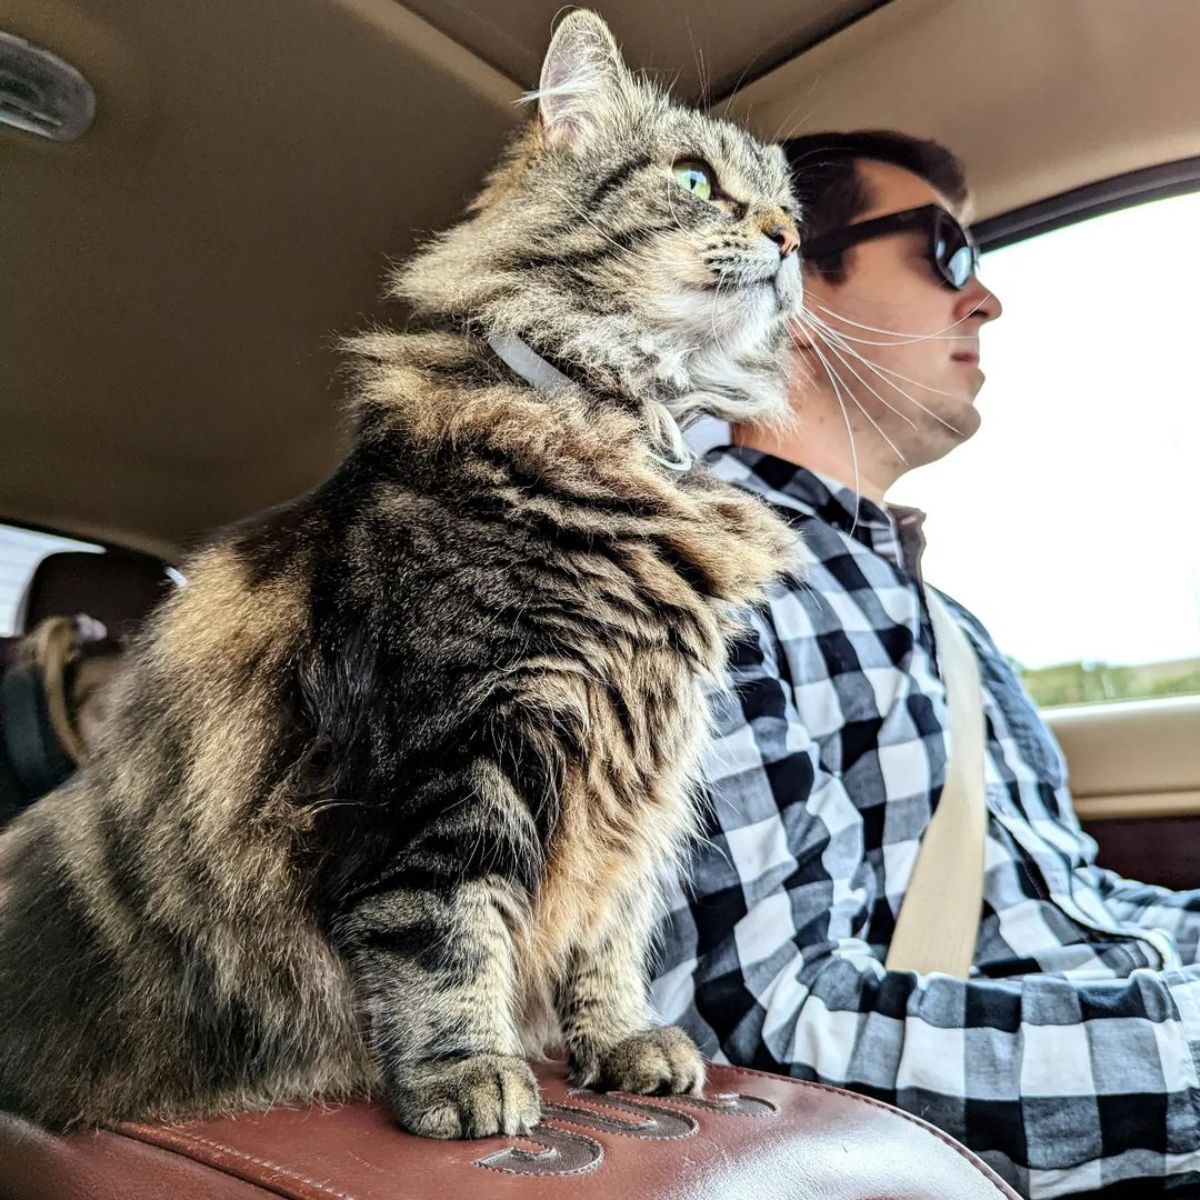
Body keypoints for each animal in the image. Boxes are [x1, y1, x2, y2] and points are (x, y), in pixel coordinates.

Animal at [2, 9, 806, 1137]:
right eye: (693, 180)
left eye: (789, 205)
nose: (790, 242)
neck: (620, 429)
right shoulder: (448, 749)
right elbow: (444, 931)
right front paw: (469, 1074)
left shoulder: (636, 767)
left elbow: (608, 929)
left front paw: (619, 1042)